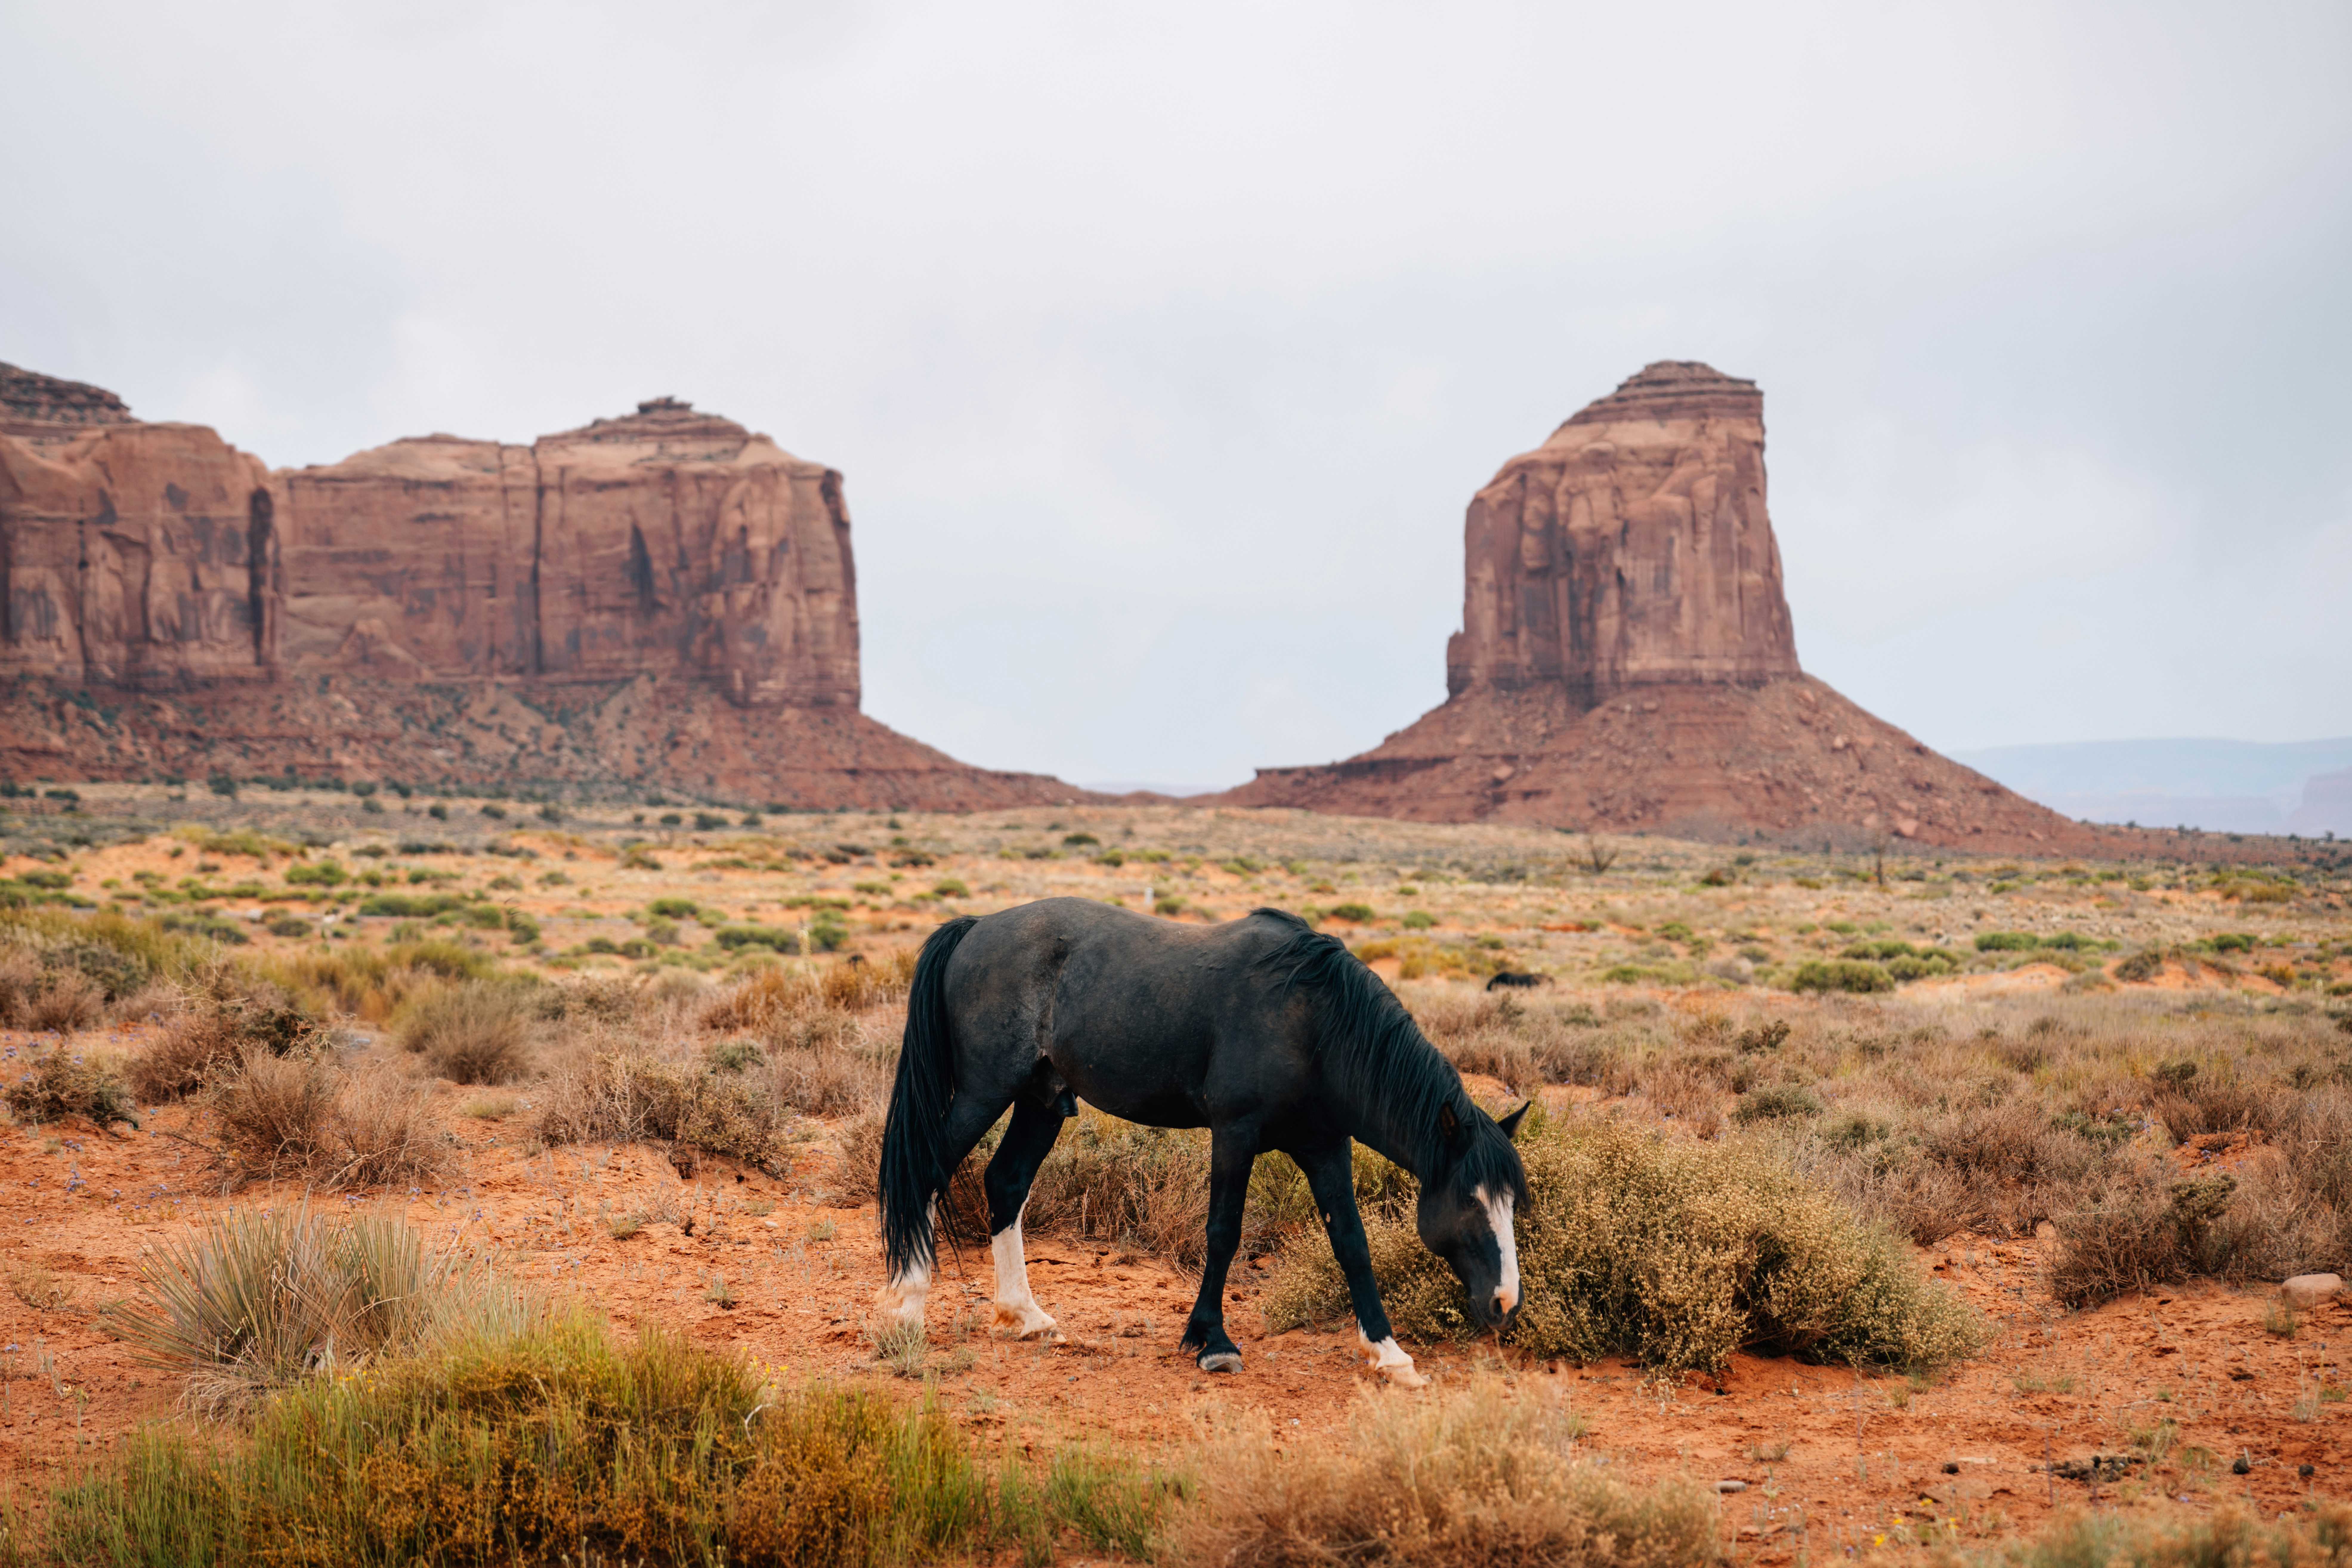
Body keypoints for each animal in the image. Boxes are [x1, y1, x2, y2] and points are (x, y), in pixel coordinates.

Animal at [874, 899, 1530, 1386]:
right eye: (1469, 1201)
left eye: (1513, 1203)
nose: (1505, 1304)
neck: (1312, 1021)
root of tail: (977, 926)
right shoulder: (1234, 1133)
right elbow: (1223, 1233)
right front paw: (1212, 1340)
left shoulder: (1325, 1146)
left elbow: (1351, 1243)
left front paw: (1389, 1352)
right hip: (984, 1091)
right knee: (927, 1172)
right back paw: (907, 1306)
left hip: (1041, 1099)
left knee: (1005, 1184)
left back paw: (1025, 1315)